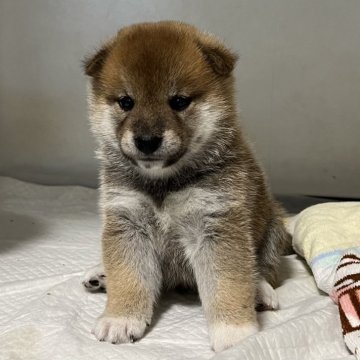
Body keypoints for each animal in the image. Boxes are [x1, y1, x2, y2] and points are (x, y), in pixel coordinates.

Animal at [82, 21, 290, 352]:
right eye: (126, 102)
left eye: (178, 101)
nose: (147, 140)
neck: (163, 184)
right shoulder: (127, 222)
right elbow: (128, 277)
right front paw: (120, 317)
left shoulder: (216, 224)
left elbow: (228, 283)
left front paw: (235, 333)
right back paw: (101, 275)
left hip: (273, 228)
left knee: (263, 269)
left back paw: (260, 291)